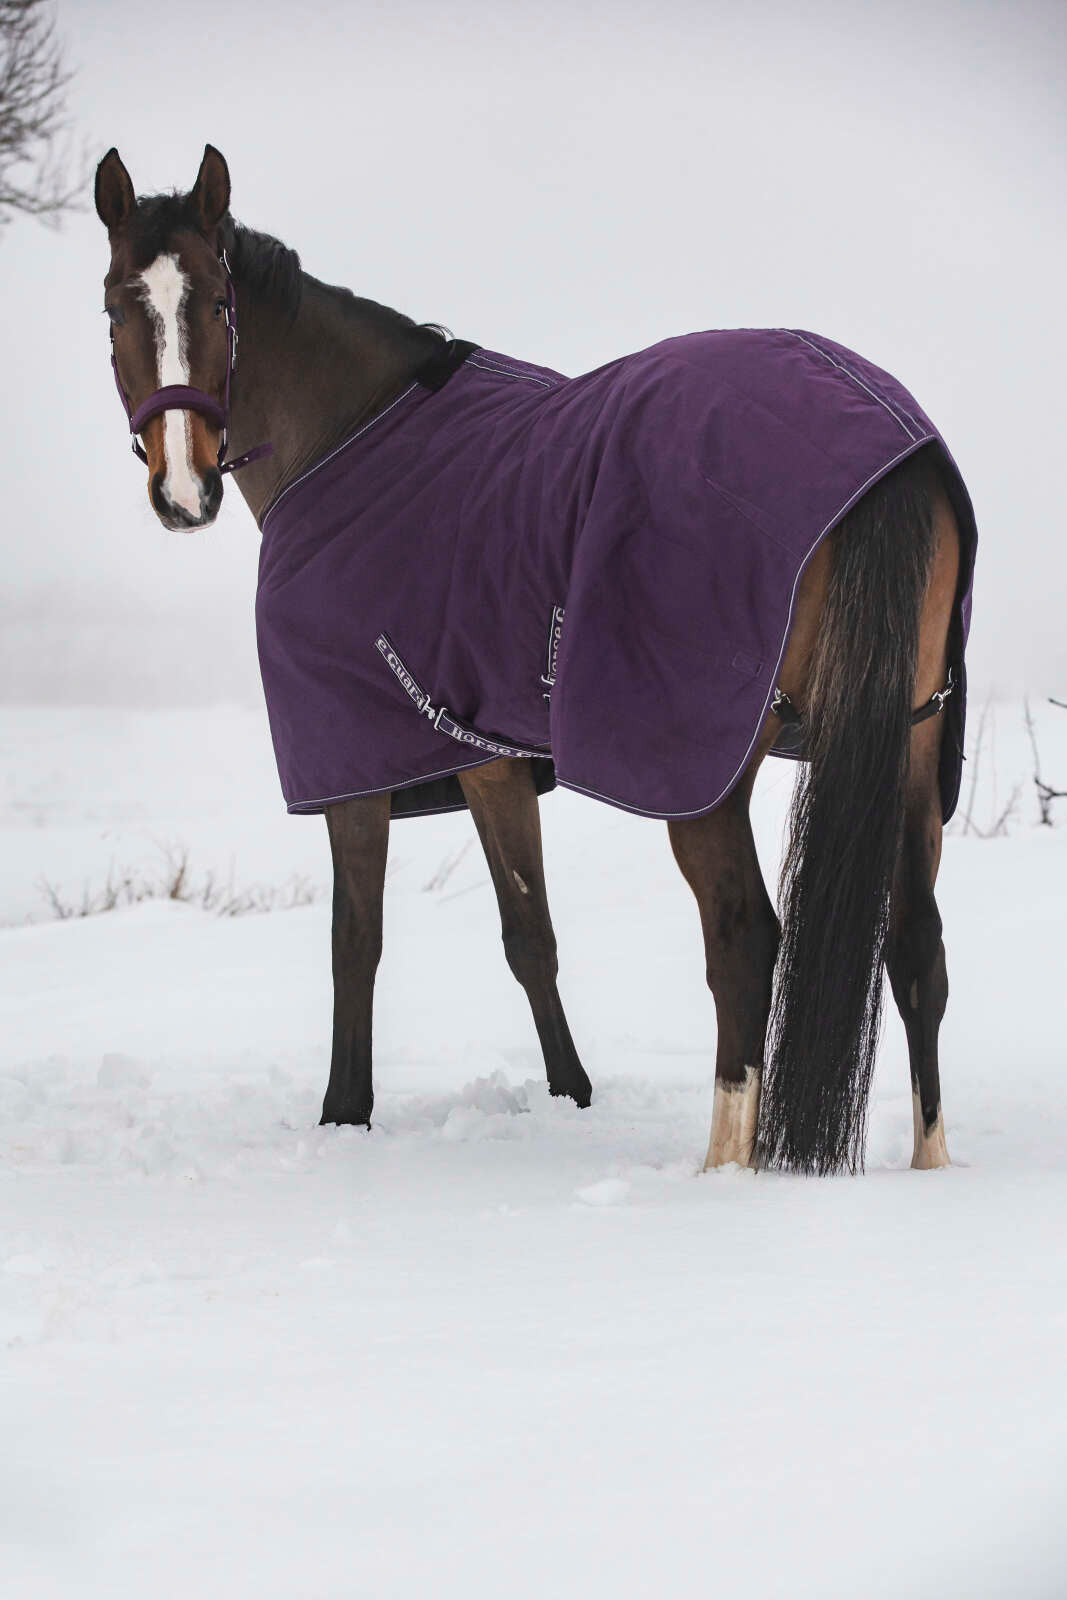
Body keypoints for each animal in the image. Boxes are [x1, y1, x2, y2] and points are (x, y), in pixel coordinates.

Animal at [94, 144, 976, 1176]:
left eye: (218, 305)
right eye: (117, 307)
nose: (183, 490)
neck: (349, 434)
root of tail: (887, 449)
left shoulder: (364, 758)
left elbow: (358, 939)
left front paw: (344, 1115)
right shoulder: (488, 756)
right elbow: (530, 936)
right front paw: (571, 1096)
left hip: (704, 769)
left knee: (744, 942)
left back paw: (724, 1165)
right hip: (911, 736)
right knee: (915, 947)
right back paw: (927, 1163)